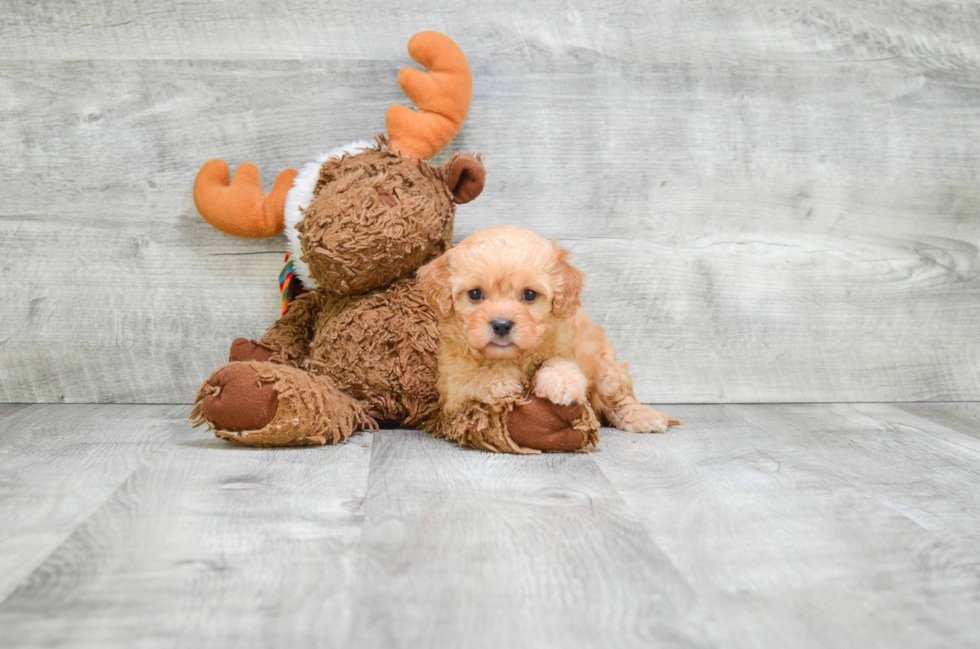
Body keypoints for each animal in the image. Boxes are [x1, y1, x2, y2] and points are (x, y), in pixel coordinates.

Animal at [420, 224, 680, 446]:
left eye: (529, 294)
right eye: (475, 294)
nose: (502, 325)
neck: (511, 357)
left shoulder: (565, 345)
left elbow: (560, 361)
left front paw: (561, 380)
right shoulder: (451, 389)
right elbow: (474, 378)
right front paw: (503, 379)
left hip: (605, 366)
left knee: (618, 398)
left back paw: (643, 416)